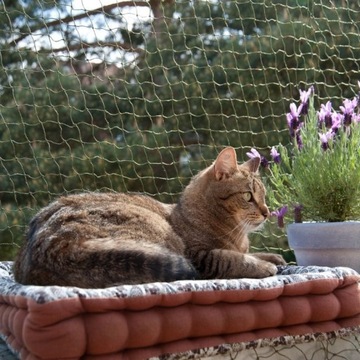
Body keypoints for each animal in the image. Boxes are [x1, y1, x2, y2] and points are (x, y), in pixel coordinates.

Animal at [13, 146, 284, 286]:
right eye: (248, 196)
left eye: (264, 196)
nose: (267, 212)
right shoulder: (200, 257)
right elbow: (232, 258)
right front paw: (265, 265)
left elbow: (247, 253)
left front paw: (272, 256)